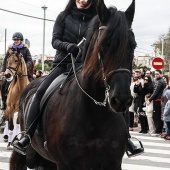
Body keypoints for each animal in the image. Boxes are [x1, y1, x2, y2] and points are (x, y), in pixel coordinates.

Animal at [9, 0, 137, 169]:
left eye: (133, 45)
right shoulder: (66, 164)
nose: (121, 99)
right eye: (104, 45)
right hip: (30, 152)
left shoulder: (113, 163)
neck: (95, 114)